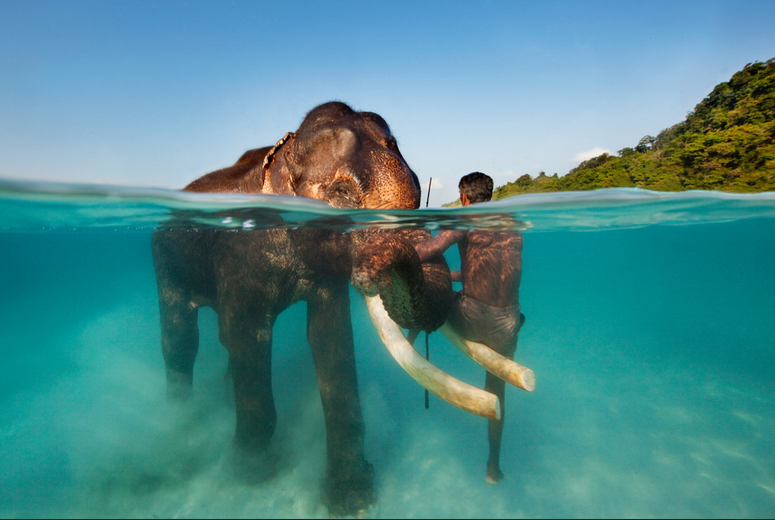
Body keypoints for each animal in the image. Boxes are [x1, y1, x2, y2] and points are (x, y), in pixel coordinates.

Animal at [152, 101, 510, 516]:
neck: (281, 154)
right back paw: (180, 419)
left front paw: (352, 499)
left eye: (422, 192)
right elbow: (244, 334)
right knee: (181, 339)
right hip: (165, 262)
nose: (370, 272)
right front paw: (246, 472)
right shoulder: (240, 257)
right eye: (340, 195)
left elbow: (331, 337)